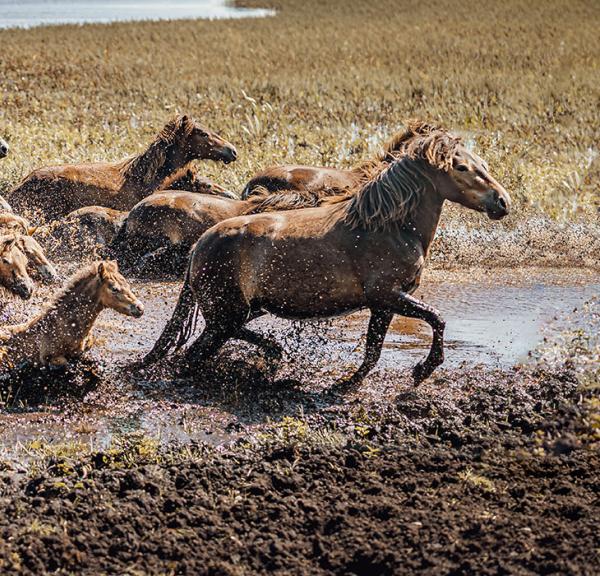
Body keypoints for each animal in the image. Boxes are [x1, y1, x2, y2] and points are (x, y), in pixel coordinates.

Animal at [142, 121, 510, 388]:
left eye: (482, 163)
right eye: (460, 167)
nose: (502, 202)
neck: (389, 226)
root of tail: (198, 247)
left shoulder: (383, 304)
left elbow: (373, 350)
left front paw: (347, 383)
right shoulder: (389, 295)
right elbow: (437, 319)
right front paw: (423, 369)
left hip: (244, 311)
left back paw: (273, 356)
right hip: (227, 313)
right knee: (197, 352)